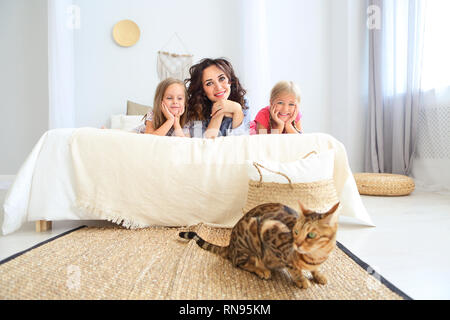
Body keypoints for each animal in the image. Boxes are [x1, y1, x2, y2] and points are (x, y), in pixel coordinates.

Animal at [178, 202, 338, 290]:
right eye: (296, 232)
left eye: (311, 235)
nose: (297, 243)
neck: (314, 256)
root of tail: (230, 246)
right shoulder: (270, 232)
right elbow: (293, 268)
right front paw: (302, 280)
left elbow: (314, 268)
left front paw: (318, 275)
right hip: (251, 233)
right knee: (239, 262)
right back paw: (262, 270)